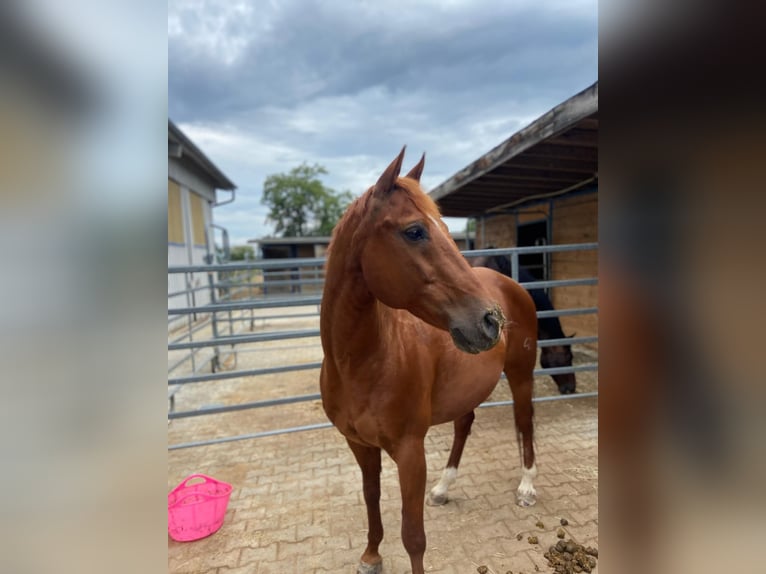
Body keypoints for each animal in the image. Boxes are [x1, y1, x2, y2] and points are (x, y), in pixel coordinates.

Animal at [319, 148, 538, 574]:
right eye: (415, 231)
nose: (490, 320)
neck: (360, 364)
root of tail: (510, 286)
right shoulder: (359, 445)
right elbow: (371, 499)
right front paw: (371, 555)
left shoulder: (410, 451)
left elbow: (413, 535)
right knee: (464, 425)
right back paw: (442, 487)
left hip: (521, 377)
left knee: (525, 423)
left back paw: (526, 486)